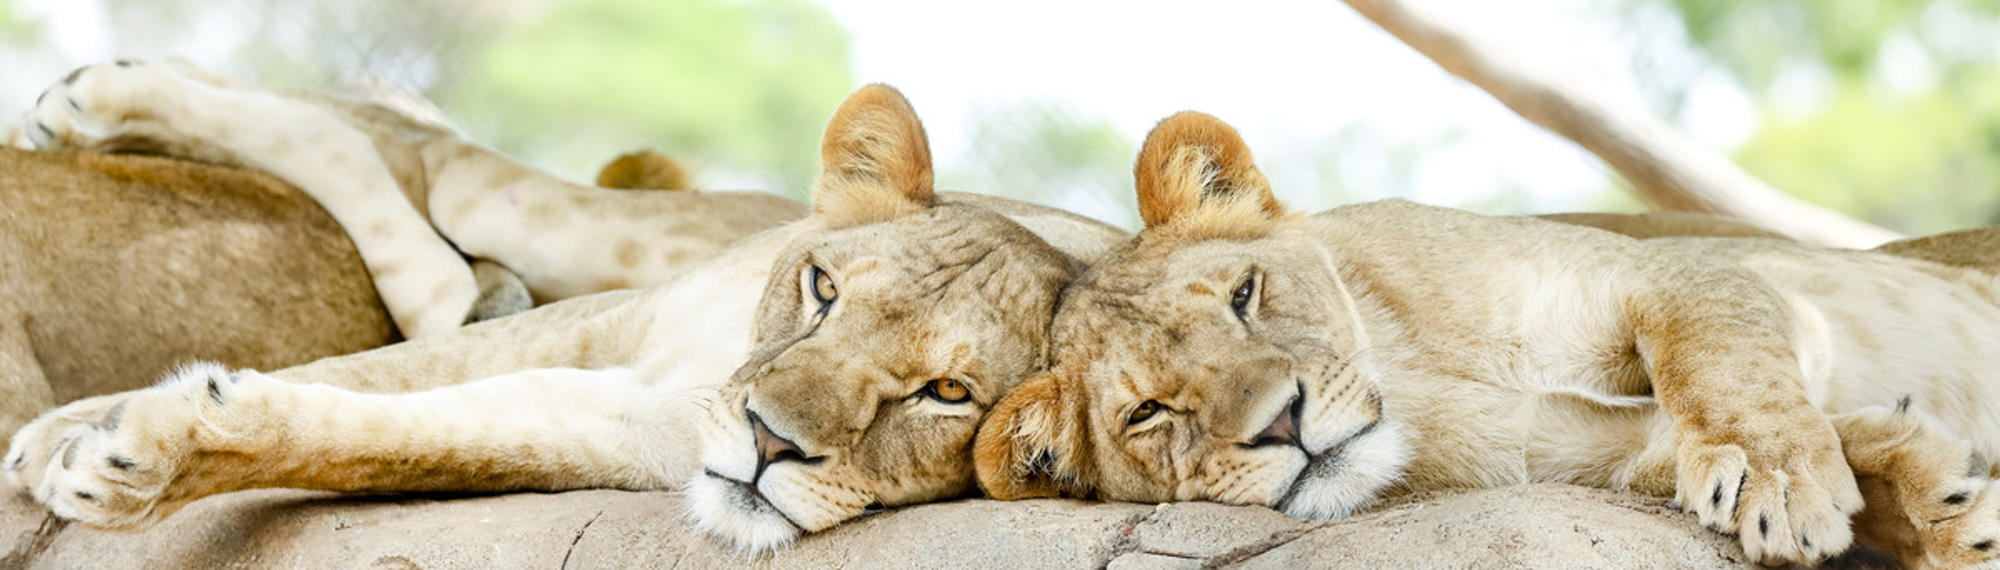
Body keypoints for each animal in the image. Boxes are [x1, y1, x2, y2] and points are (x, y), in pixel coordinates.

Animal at [976, 110, 2000, 564]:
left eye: (1244, 294)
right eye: (1149, 412)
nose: (1283, 423)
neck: (1417, 374)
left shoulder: (1674, 272)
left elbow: (1725, 367)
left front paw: (1784, 483)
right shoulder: (1591, 460)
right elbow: (1750, 439)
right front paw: (1935, 497)